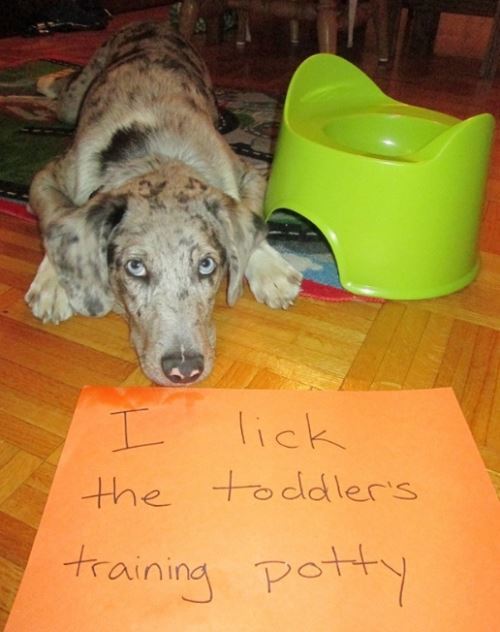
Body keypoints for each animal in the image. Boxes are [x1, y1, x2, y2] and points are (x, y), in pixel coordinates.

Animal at [25, 19, 300, 386]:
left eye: (207, 265)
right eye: (135, 267)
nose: (184, 369)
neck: (156, 157)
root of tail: (150, 22)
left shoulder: (249, 174)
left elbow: (248, 214)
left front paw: (272, 272)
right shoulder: (47, 176)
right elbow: (58, 214)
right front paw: (53, 284)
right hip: (74, 103)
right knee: (67, 88)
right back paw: (46, 79)